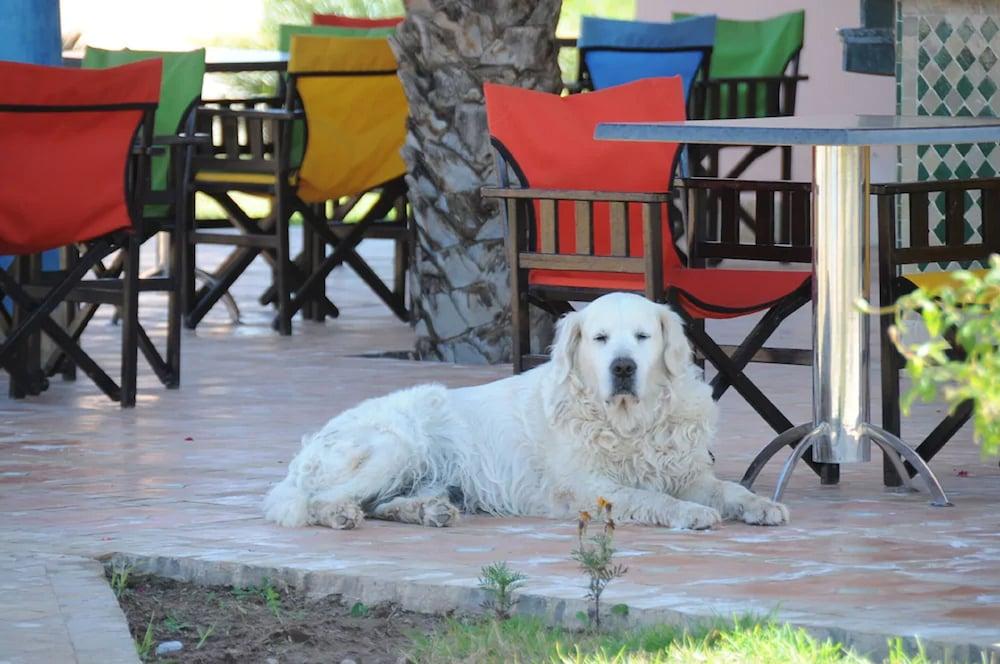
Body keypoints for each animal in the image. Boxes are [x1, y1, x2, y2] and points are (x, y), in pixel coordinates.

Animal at [264, 294, 788, 532]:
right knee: (314, 500)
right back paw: (341, 514)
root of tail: (306, 451)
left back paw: (429, 510)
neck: (628, 422)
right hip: (395, 444)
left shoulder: (688, 472)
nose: (623, 367)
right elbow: (653, 498)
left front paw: (761, 505)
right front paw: (691, 514)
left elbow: (729, 489)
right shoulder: (594, 488)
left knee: (384, 504)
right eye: (600, 338)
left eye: (642, 337)